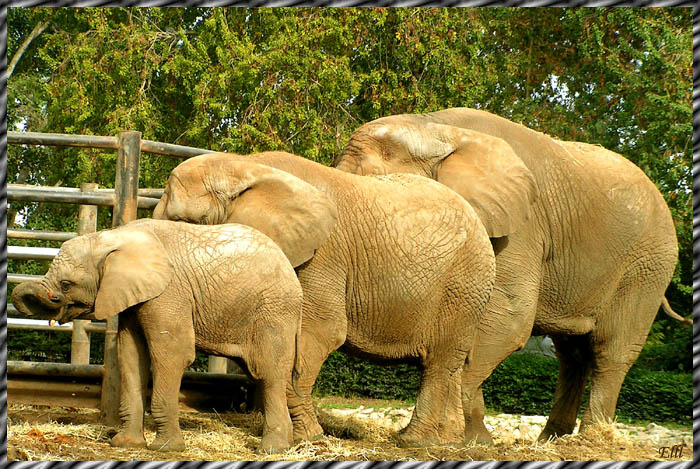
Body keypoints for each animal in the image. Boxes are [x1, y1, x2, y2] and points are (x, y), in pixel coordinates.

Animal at [10, 218, 303, 453]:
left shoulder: (168, 293)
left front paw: (165, 448)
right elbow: (130, 355)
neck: (112, 237)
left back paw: (272, 450)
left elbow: (173, 353)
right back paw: (287, 444)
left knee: (268, 372)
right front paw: (126, 444)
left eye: (66, 284)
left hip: (274, 310)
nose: (51, 299)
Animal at [152, 150, 497, 447]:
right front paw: (305, 434)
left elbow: (319, 332)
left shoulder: (321, 256)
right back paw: (451, 440)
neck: (244, 167)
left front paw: (309, 437)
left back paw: (413, 440)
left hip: (464, 284)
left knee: (440, 360)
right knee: (450, 363)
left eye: (184, 222)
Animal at [335, 107, 685, 443]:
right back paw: (552, 438)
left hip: (648, 265)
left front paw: (462, 438)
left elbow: (510, 316)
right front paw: (475, 438)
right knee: (572, 354)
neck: (435, 127)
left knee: (611, 350)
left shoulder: (520, 226)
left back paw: (592, 438)